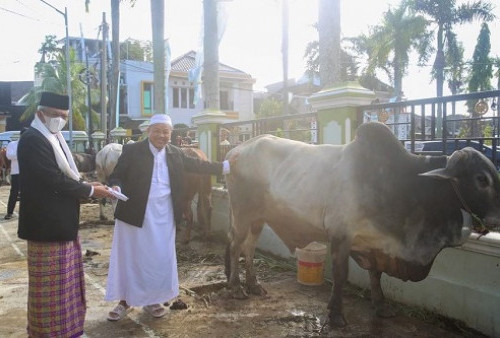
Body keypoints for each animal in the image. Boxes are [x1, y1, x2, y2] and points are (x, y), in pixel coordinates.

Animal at [225, 121, 500, 328]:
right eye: (481, 179)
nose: (497, 217)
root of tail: (236, 150)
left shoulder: (374, 242)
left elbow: (376, 275)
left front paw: (381, 306)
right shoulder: (340, 235)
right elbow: (341, 275)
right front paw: (336, 315)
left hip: (258, 219)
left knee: (249, 248)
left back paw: (253, 285)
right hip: (242, 214)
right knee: (237, 246)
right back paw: (236, 288)